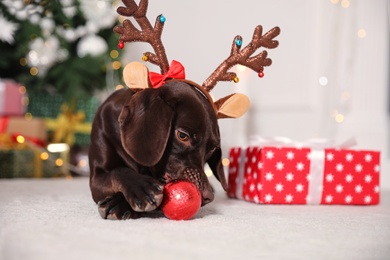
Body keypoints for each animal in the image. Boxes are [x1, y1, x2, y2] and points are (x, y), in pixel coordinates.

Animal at [89, 80, 225, 218]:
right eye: (182, 135)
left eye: (212, 149)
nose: (208, 196)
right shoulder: (96, 178)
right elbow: (118, 171)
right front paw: (142, 188)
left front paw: (120, 203)